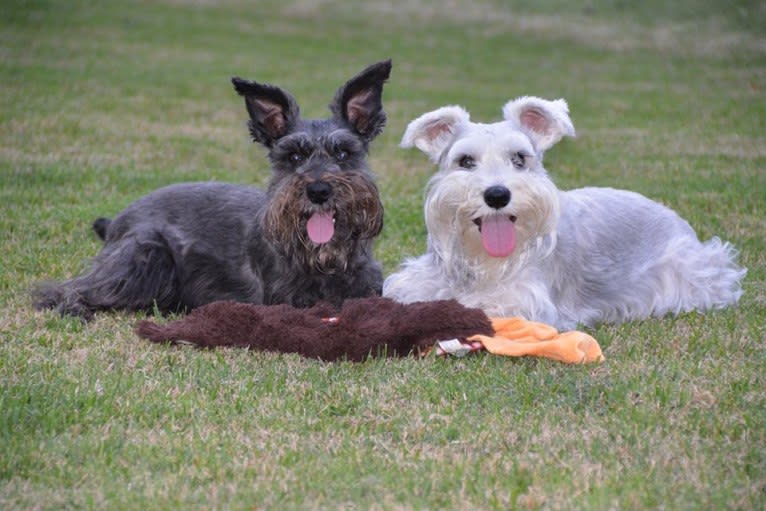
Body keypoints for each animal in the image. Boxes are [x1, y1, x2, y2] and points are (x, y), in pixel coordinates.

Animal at [33, 60, 392, 320]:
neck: (325, 261)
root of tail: (117, 222)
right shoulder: (286, 299)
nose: (319, 190)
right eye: (293, 156)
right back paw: (73, 307)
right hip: (145, 255)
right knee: (67, 288)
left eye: (343, 153)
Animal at [388, 98, 748, 330]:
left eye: (519, 158)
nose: (497, 195)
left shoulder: (522, 302)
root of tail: (681, 224)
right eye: (465, 161)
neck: (483, 262)